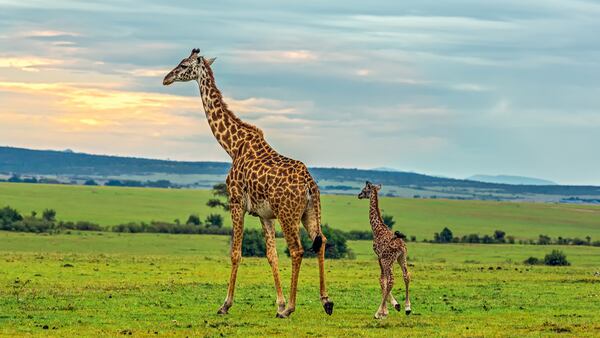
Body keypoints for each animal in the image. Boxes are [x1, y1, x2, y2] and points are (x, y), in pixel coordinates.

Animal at [163, 48, 332, 318]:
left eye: (183, 65)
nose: (166, 78)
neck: (232, 146)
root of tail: (309, 184)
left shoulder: (235, 202)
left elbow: (235, 253)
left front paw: (225, 304)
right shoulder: (264, 214)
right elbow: (271, 255)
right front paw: (278, 303)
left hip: (288, 214)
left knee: (297, 250)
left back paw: (291, 308)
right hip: (309, 212)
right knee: (321, 242)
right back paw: (325, 301)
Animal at [358, 181, 410, 318]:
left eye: (364, 190)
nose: (359, 195)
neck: (376, 228)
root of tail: (401, 246)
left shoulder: (379, 256)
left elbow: (382, 280)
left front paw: (384, 311)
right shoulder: (383, 258)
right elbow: (384, 280)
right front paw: (395, 305)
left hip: (389, 260)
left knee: (391, 280)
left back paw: (377, 313)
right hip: (401, 258)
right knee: (406, 276)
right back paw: (408, 308)